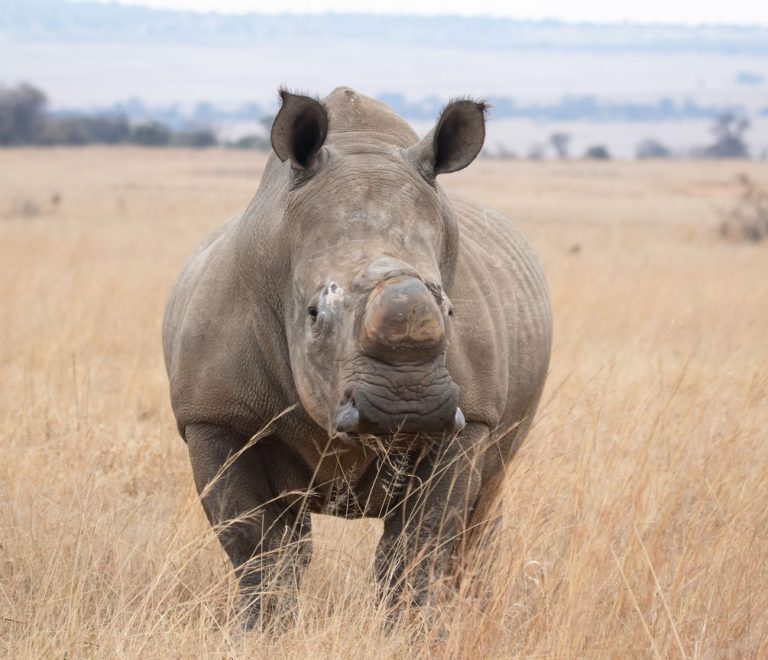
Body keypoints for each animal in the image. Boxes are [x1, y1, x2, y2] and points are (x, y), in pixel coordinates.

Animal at [162, 87, 552, 627]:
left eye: (451, 310)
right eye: (313, 314)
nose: (406, 407)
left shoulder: (471, 418)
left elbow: (420, 542)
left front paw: (413, 634)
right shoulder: (214, 416)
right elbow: (258, 544)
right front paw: (260, 632)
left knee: (480, 505)